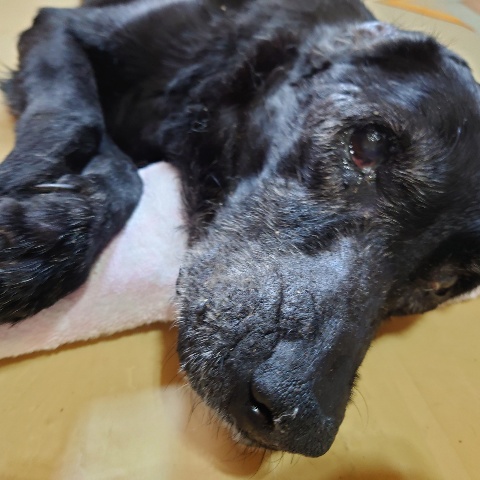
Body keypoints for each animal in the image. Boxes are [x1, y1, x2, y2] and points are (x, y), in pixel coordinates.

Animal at [0, 0, 479, 457]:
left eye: (443, 284)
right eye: (369, 144)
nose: (303, 422)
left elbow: (120, 173)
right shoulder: (58, 26)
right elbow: (76, 121)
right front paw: (31, 227)